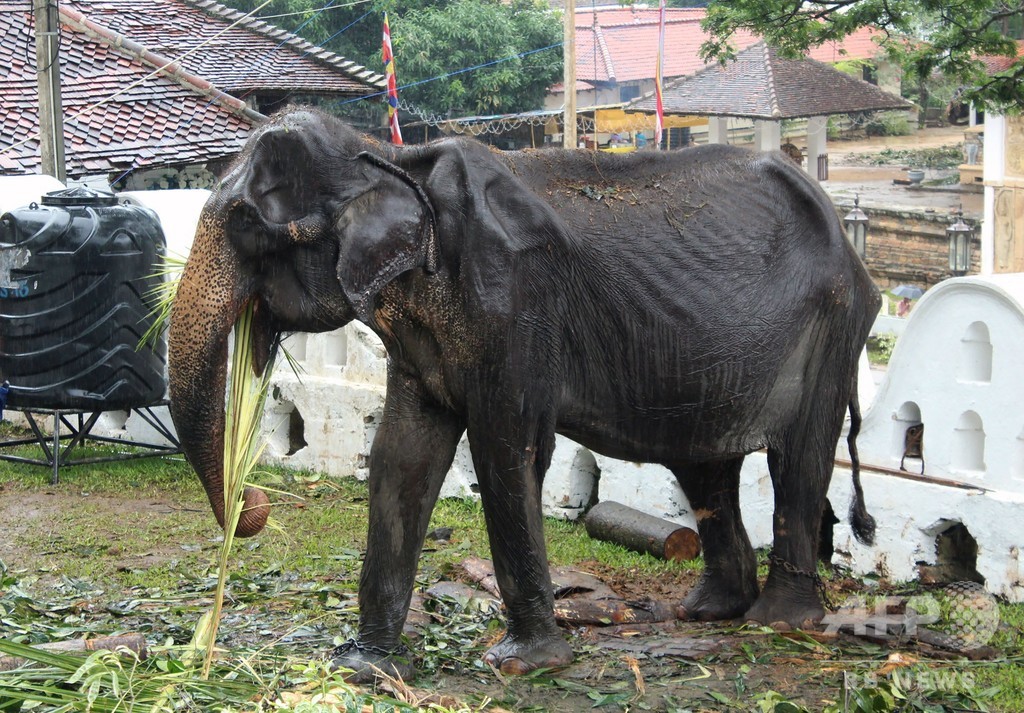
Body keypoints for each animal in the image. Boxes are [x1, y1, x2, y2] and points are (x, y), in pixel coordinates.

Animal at [167, 106, 880, 680]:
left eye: (246, 224)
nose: (256, 501)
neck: (390, 161)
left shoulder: (514, 302)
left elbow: (508, 451)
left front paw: (522, 664)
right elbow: (401, 458)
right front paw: (364, 667)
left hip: (833, 327)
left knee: (797, 459)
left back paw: (779, 622)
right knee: (705, 467)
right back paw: (709, 612)